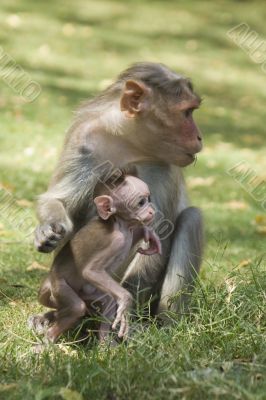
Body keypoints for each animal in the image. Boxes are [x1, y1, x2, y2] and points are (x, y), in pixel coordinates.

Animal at [31, 168, 160, 340]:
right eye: (141, 202)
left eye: (148, 199)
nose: (152, 211)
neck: (118, 223)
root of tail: (46, 282)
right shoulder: (116, 241)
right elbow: (90, 271)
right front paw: (126, 301)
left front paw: (149, 234)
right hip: (56, 287)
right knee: (76, 308)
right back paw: (47, 340)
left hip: (86, 294)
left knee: (108, 300)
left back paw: (104, 343)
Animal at [34, 61, 203, 318]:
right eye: (186, 113)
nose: (200, 137)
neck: (128, 143)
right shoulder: (84, 140)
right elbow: (59, 199)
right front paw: (47, 230)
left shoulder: (162, 166)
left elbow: (158, 231)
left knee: (191, 218)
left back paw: (165, 321)